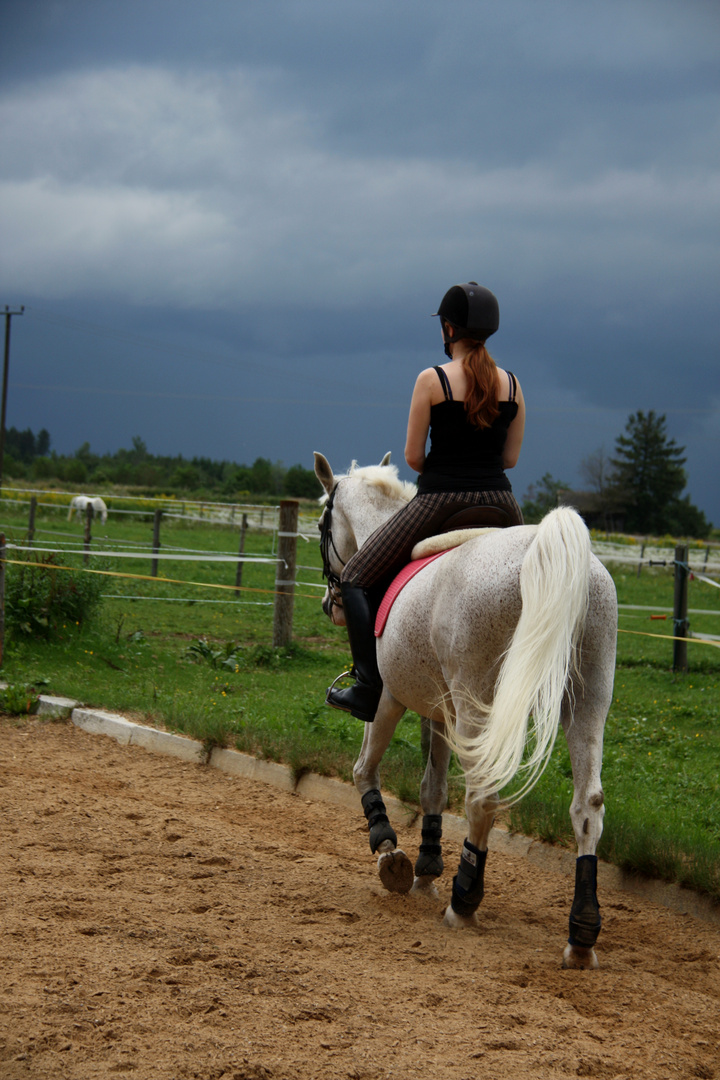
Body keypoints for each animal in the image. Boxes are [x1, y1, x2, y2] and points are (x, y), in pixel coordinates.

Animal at [315, 451, 621, 976]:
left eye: (321, 525)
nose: (328, 603)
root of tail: (544, 550)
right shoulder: (440, 712)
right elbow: (432, 787)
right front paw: (426, 869)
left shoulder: (389, 698)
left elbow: (364, 770)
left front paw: (390, 852)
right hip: (587, 698)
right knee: (588, 806)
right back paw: (581, 937)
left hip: (478, 698)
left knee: (483, 796)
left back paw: (464, 902)